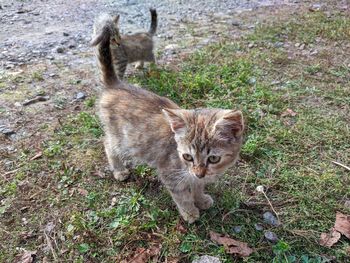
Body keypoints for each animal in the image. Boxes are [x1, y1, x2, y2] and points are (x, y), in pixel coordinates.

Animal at [91, 14, 245, 225]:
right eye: (187, 156)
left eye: (214, 158)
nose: (199, 172)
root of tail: (116, 84)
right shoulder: (170, 173)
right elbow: (182, 194)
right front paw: (190, 212)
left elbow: (197, 186)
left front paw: (201, 198)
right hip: (121, 138)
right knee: (107, 144)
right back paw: (119, 170)